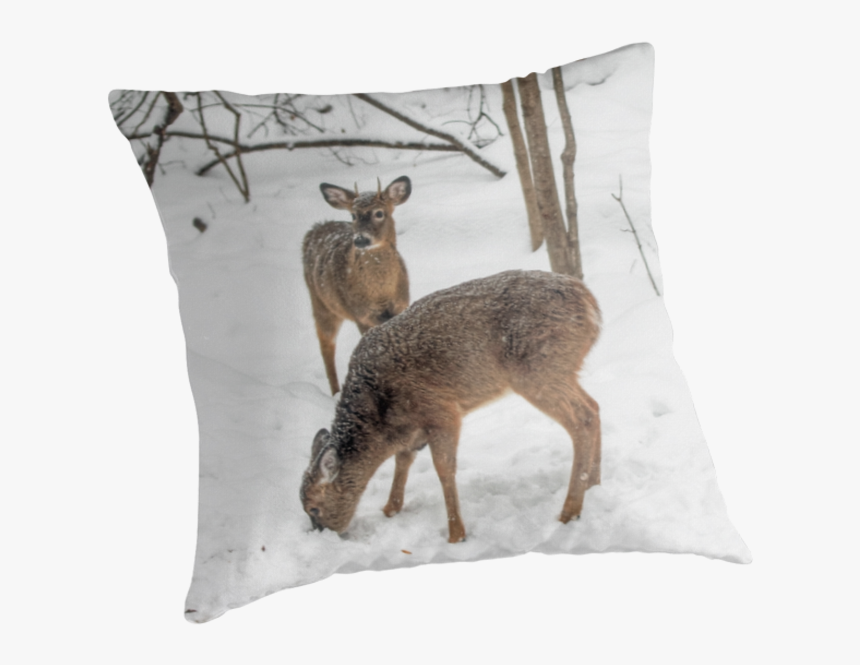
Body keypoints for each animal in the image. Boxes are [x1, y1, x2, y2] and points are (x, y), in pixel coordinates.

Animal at [300, 270, 602, 544]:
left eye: (313, 508)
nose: (323, 535)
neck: (379, 418)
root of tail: (592, 307)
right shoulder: (412, 431)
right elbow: (403, 460)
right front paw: (390, 509)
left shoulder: (441, 410)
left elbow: (443, 469)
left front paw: (456, 534)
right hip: (559, 370)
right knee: (594, 406)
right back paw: (594, 483)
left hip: (538, 370)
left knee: (582, 419)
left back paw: (570, 511)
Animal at [302, 176, 411, 395]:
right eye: (353, 215)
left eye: (379, 213)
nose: (361, 239)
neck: (381, 293)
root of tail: (316, 229)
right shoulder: (361, 314)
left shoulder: (402, 305)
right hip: (321, 305)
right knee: (326, 345)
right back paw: (335, 392)